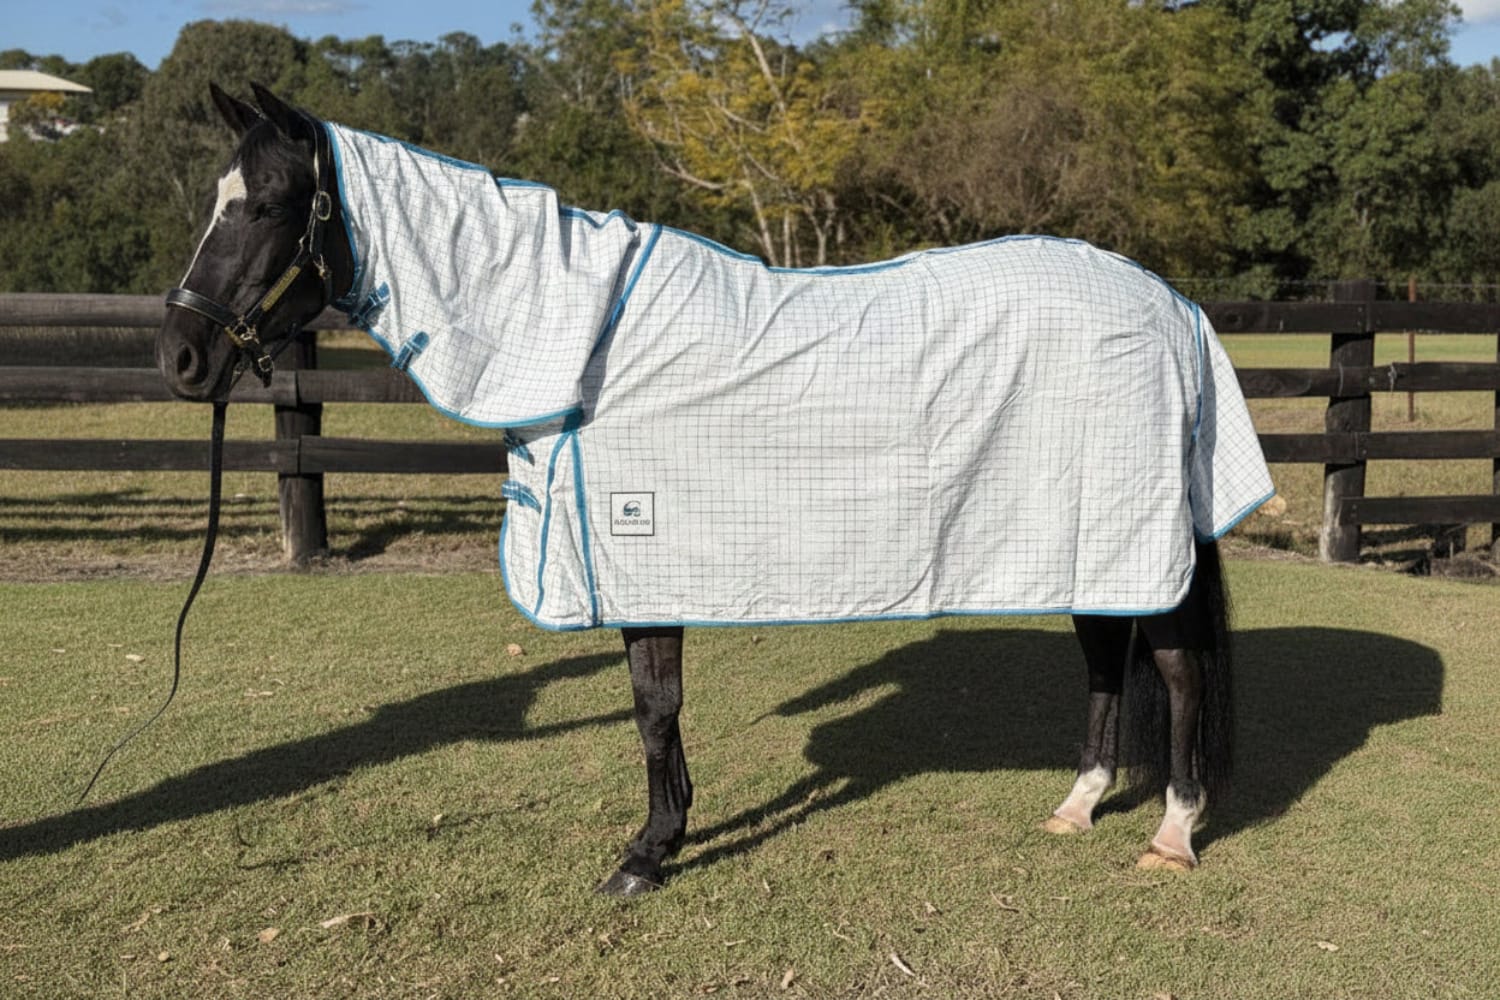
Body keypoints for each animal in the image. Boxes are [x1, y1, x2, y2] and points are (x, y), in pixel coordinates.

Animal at [155, 83, 1273, 896]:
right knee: (1105, 659)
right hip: (1081, 540)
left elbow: (654, 707)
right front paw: (667, 834)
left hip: (1138, 539)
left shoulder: (644, 558)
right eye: (213, 203)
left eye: (266, 205)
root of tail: (1169, 303)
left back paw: (1174, 830)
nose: (179, 356)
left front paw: (647, 852)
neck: (579, 342)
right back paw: (1077, 804)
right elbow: (654, 708)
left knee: (1176, 670)